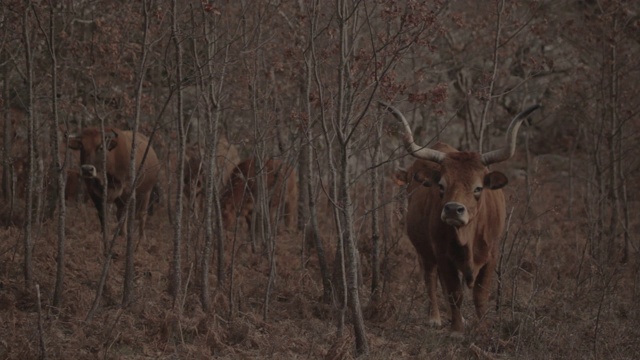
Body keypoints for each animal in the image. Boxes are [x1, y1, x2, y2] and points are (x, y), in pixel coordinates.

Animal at [380, 100, 540, 334]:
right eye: (441, 185)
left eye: (478, 188)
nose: (453, 209)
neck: (468, 237)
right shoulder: (442, 253)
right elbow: (455, 292)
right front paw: (456, 330)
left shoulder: (492, 254)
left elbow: (480, 294)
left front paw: (482, 327)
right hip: (424, 250)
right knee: (430, 277)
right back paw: (436, 317)